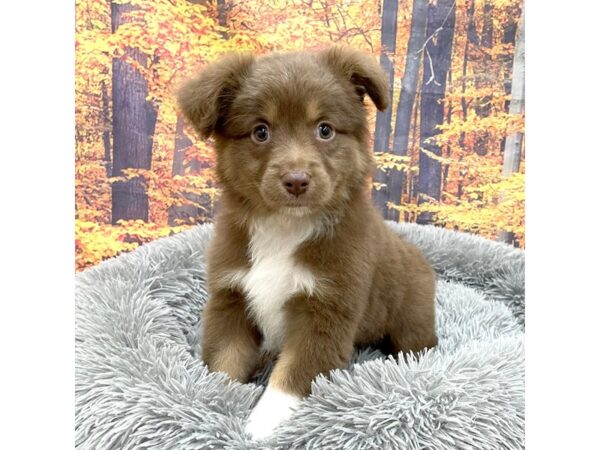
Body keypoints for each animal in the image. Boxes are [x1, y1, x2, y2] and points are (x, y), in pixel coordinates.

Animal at [177, 45, 436, 440]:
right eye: (261, 131)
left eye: (324, 129)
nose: (297, 180)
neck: (284, 229)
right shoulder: (231, 298)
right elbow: (224, 361)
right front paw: (213, 402)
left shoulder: (326, 310)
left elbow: (290, 376)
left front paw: (262, 424)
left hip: (413, 320)